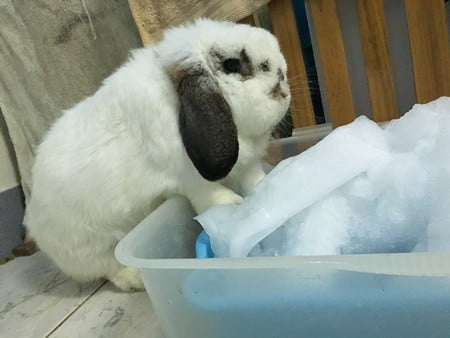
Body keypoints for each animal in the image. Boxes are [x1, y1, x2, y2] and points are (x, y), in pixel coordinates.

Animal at [25, 17, 292, 290]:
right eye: (232, 64)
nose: (283, 88)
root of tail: (32, 219)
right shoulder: (195, 183)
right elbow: (217, 198)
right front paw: (236, 208)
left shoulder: (248, 166)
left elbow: (255, 181)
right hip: (94, 247)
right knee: (109, 268)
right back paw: (134, 278)